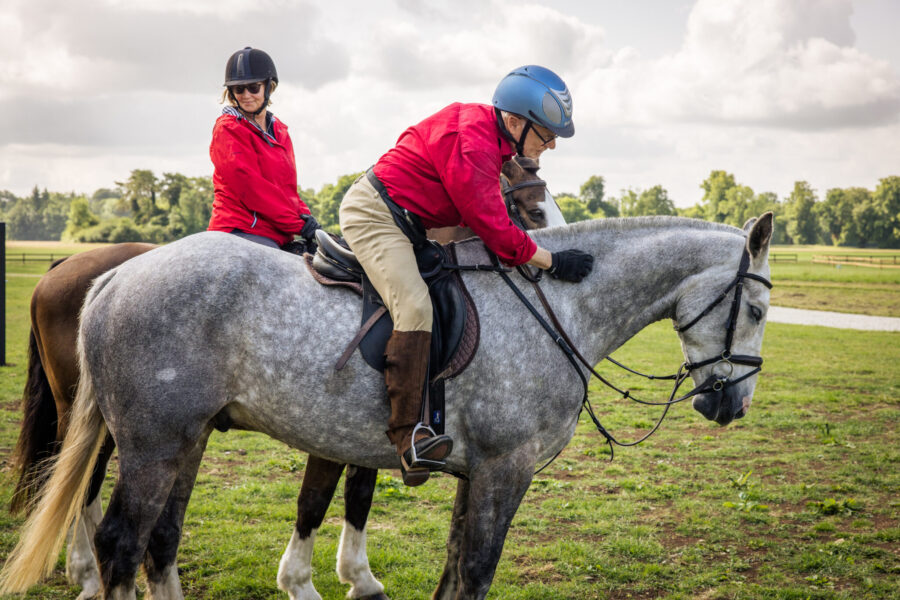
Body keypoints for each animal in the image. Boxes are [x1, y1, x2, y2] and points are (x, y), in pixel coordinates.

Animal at [0, 213, 774, 599]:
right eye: (761, 310)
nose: (732, 404)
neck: (559, 305)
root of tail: (114, 275)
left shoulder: (474, 474)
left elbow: (450, 567)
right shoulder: (505, 471)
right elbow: (473, 571)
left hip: (183, 440)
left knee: (157, 542)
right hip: (151, 443)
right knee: (118, 542)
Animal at [7, 156, 557, 600]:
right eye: (533, 212)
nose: (539, 262)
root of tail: (89, 273)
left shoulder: (360, 435)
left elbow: (354, 495)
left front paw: (354, 577)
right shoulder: (338, 435)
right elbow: (316, 500)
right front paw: (308, 581)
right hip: (117, 423)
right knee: (83, 487)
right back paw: (85, 573)